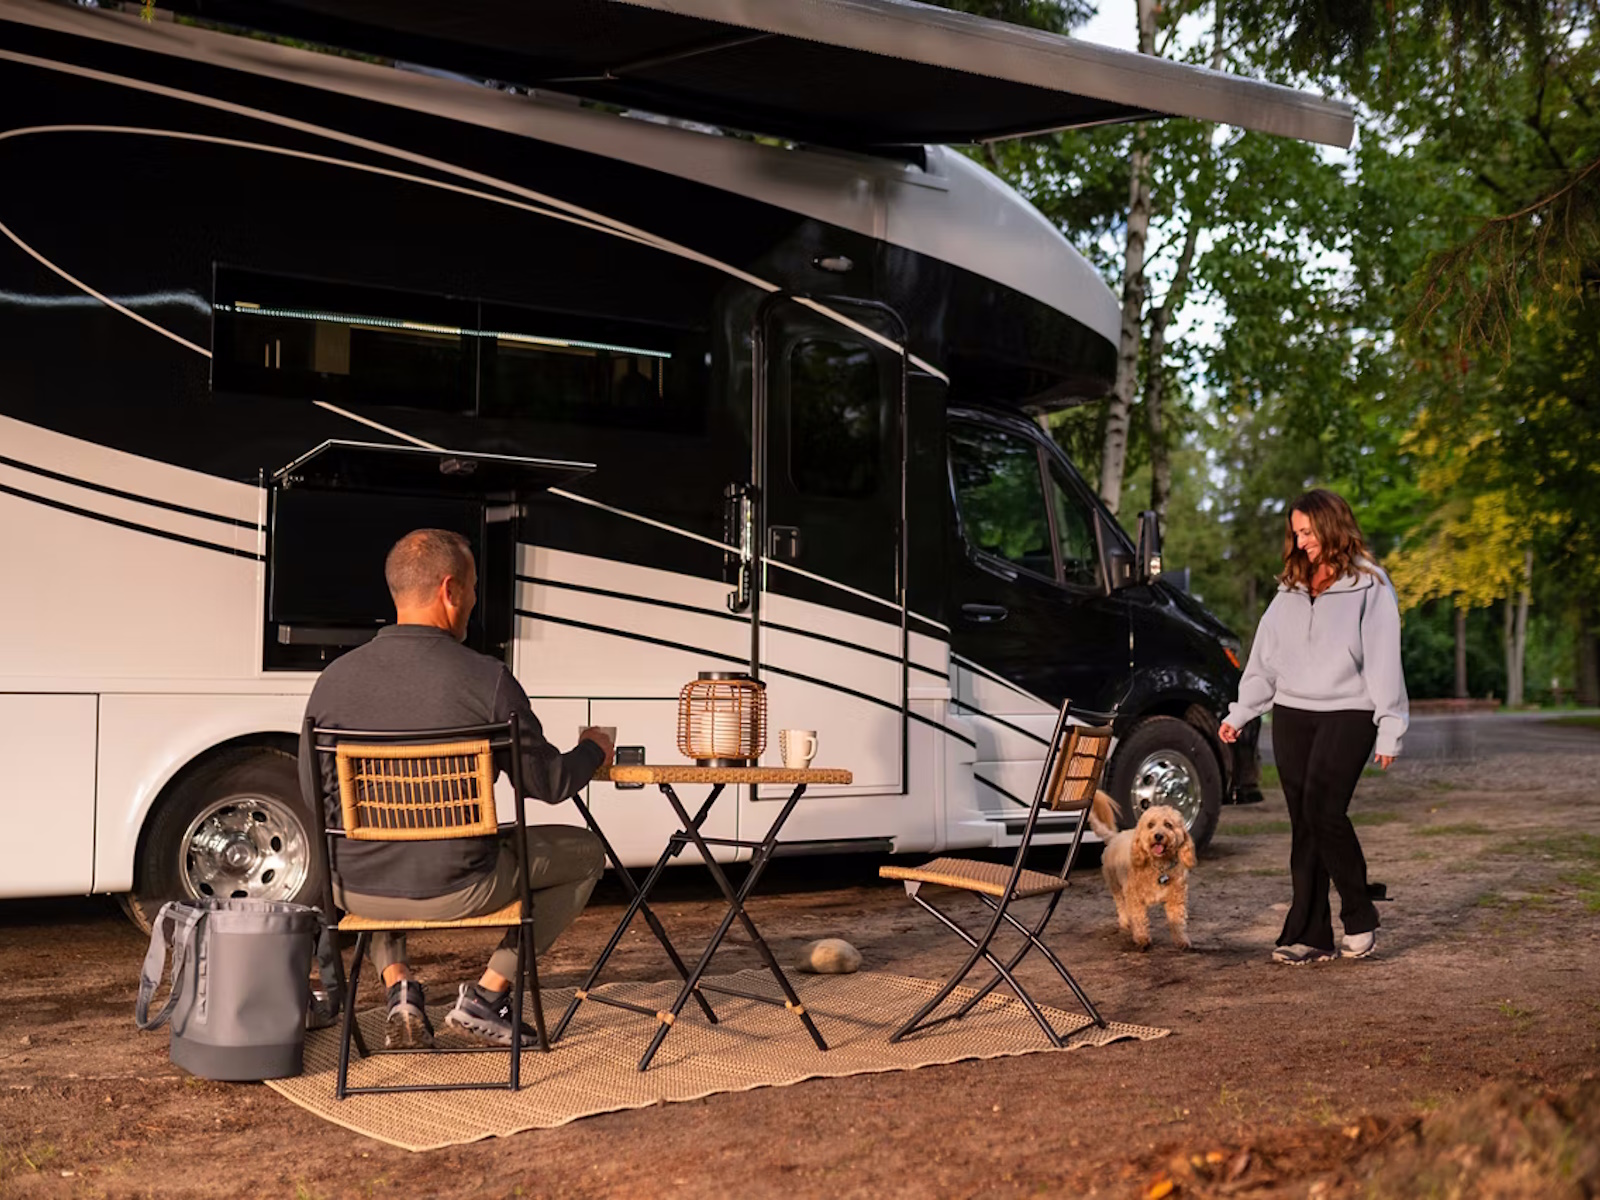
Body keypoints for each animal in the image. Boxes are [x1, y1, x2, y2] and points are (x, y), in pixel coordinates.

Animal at [1089, 790, 1196, 950]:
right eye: (1150, 825)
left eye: (1168, 825)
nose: (1158, 835)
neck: (1159, 867)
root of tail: (1115, 837)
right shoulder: (1134, 898)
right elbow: (1139, 918)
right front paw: (1142, 938)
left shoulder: (1176, 899)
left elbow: (1177, 921)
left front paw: (1181, 940)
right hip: (1115, 884)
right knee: (1121, 904)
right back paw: (1125, 922)